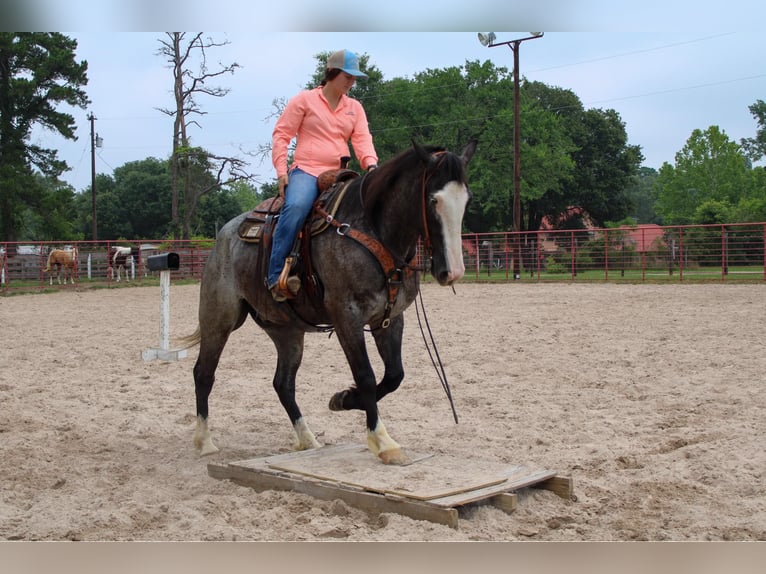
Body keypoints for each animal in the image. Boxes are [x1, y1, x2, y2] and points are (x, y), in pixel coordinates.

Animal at [184, 141, 476, 468]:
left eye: (466, 199)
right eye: (433, 199)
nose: (453, 272)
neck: (374, 230)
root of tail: (224, 236)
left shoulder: (389, 319)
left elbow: (394, 375)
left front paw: (344, 399)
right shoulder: (347, 317)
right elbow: (366, 376)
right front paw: (383, 441)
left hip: (287, 331)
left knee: (283, 383)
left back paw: (307, 439)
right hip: (219, 318)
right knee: (203, 373)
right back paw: (205, 441)